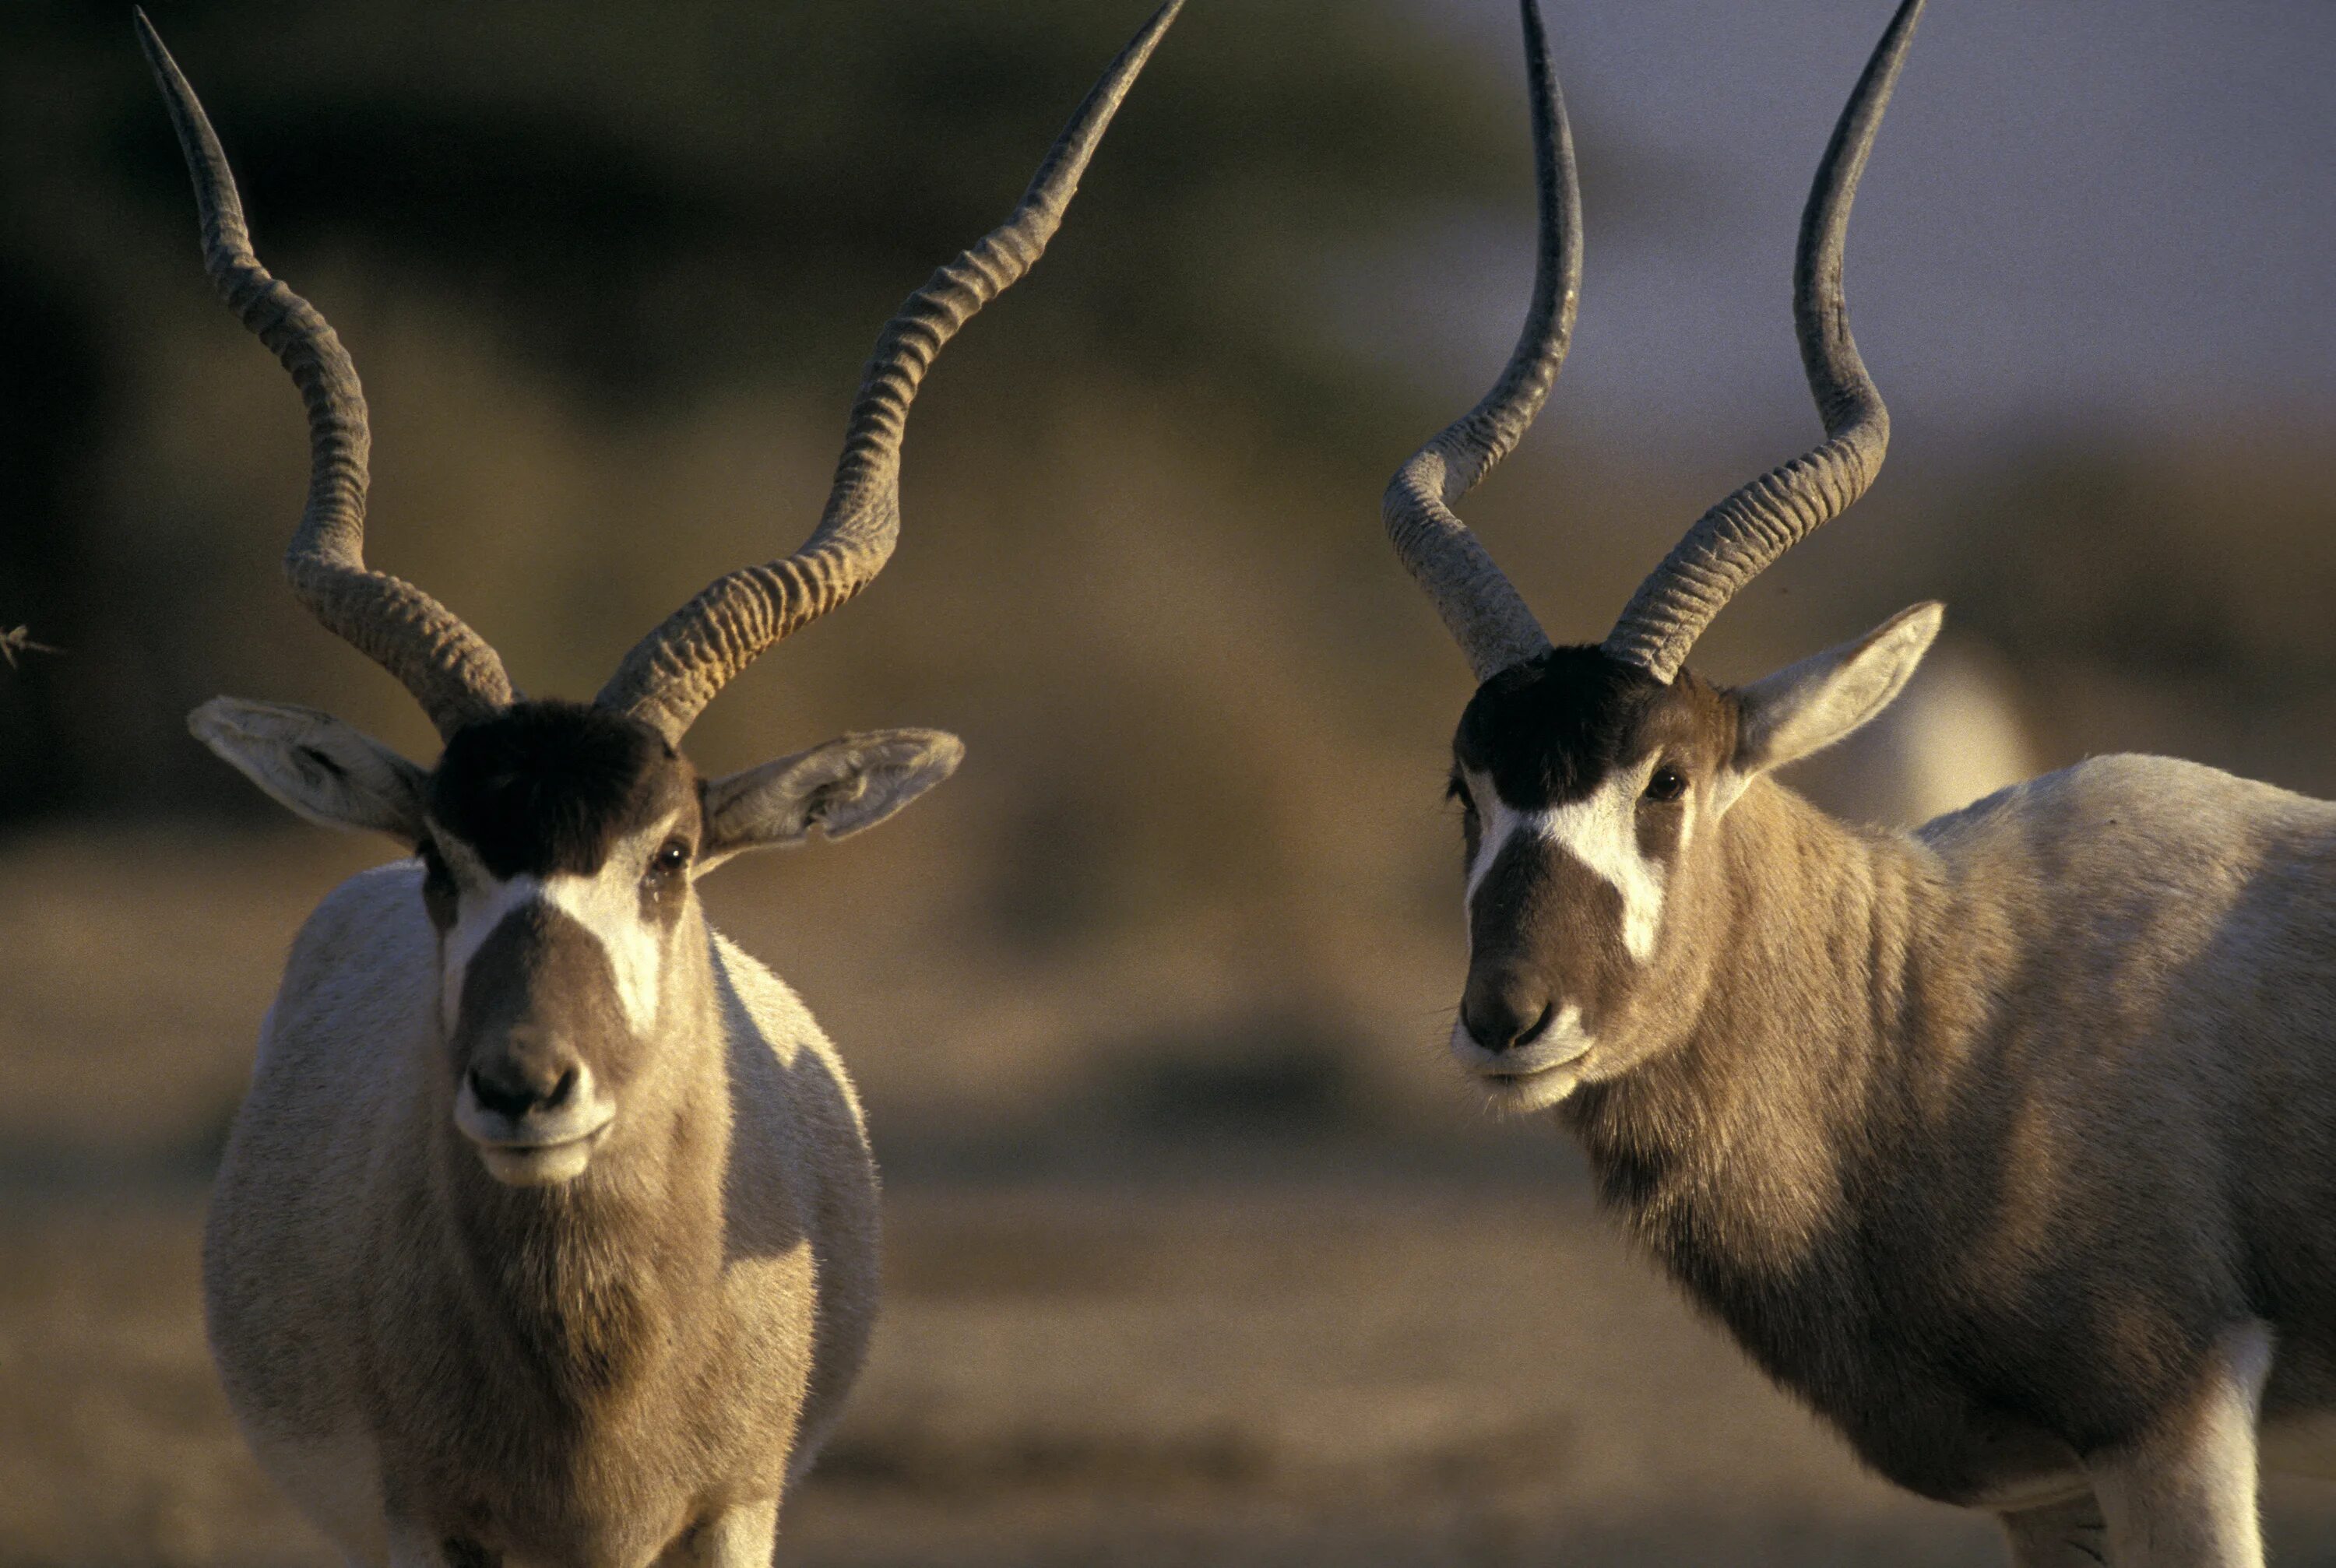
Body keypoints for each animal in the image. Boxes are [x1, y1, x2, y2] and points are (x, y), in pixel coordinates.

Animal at [136, 5, 1177, 1560]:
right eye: (444, 855)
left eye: (671, 852)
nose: (523, 1086)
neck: (597, 1373)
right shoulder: (421, 1521)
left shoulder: (732, 1510)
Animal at [1383, 5, 2336, 1560]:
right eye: (1465, 787)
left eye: (1667, 776)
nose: (1509, 1018)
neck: (1937, 996)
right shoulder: (2048, 1490)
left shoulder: (2172, 1423)